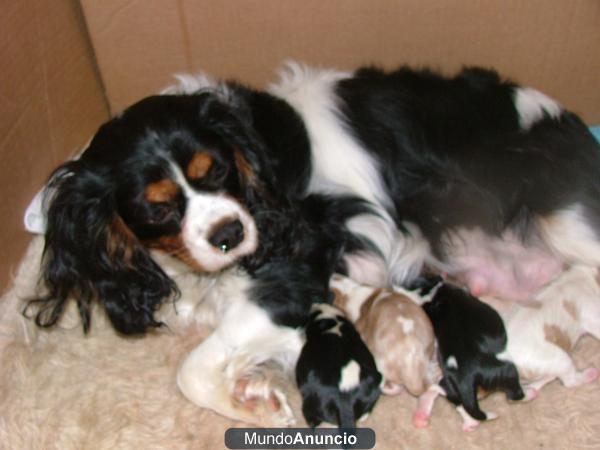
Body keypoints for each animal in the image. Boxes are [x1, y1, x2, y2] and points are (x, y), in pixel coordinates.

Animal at [414, 276, 524, 430]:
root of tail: (466, 378)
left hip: (449, 386)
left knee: (462, 406)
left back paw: (469, 424)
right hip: (506, 371)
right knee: (515, 393)